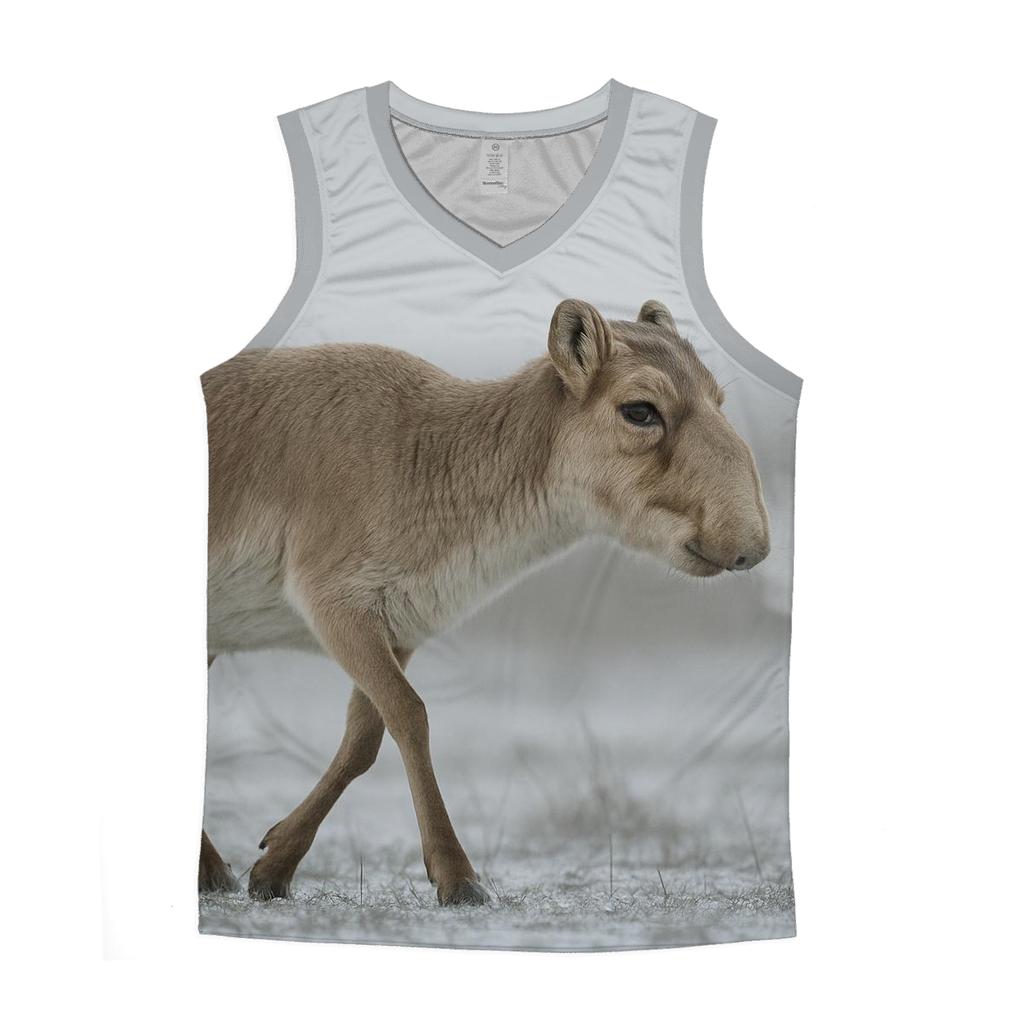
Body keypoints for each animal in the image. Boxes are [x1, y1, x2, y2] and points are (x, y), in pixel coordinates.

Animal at [200, 299, 770, 904]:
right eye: (639, 410)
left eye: (718, 398)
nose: (751, 545)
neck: (427, 457)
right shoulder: (332, 604)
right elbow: (411, 715)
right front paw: (459, 877)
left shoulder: (397, 627)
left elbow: (365, 737)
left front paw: (275, 865)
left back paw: (211, 869)